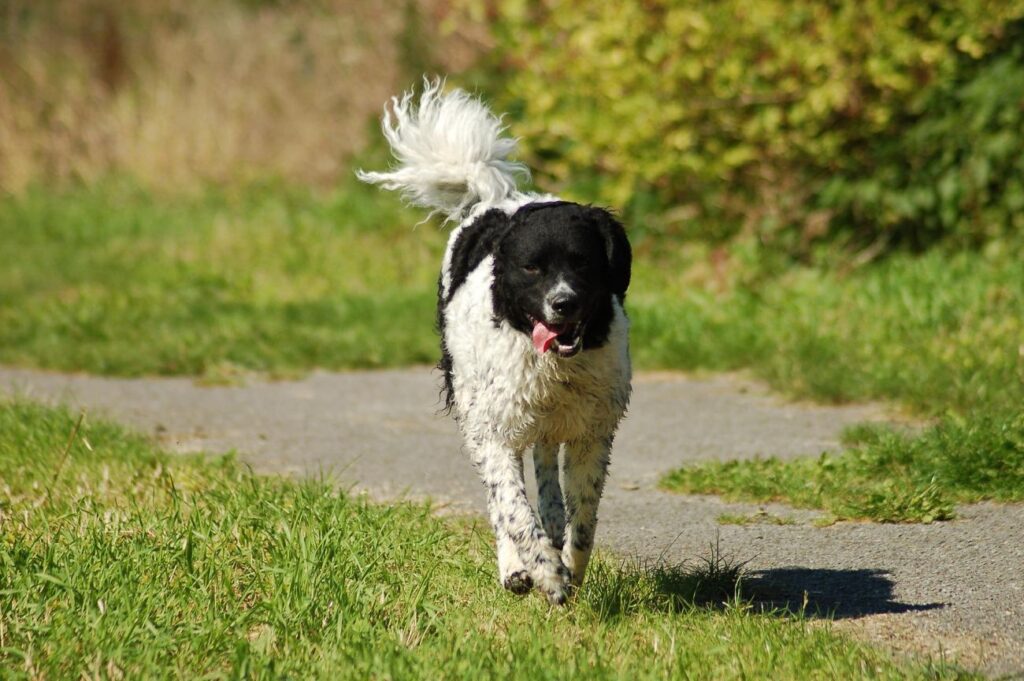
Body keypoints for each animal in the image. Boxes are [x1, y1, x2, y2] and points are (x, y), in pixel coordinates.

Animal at [360, 79, 630, 606]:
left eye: (583, 263)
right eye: (531, 267)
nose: (564, 303)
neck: (552, 367)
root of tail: (496, 198)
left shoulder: (591, 431)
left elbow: (583, 518)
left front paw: (570, 566)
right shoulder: (494, 429)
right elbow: (512, 508)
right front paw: (543, 571)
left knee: (546, 479)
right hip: (476, 408)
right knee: (503, 500)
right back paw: (516, 568)